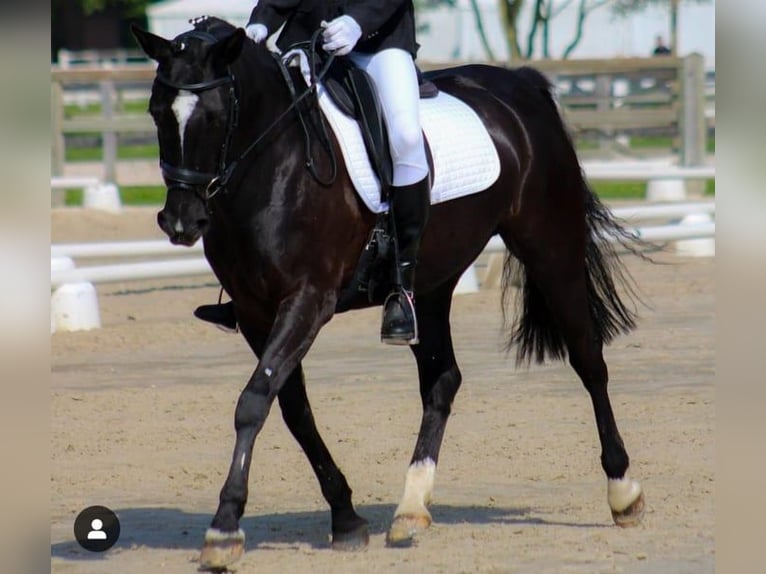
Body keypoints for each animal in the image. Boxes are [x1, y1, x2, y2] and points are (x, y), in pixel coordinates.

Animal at [131, 16, 645, 570]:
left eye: (216, 115)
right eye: (157, 111)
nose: (180, 222)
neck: (272, 165)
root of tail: (520, 84)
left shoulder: (308, 301)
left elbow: (253, 402)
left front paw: (225, 528)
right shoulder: (254, 314)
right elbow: (293, 410)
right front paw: (345, 517)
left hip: (551, 251)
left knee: (589, 361)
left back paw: (623, 492)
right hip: (431, 285)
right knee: (442, 380)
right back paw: (411, 508)